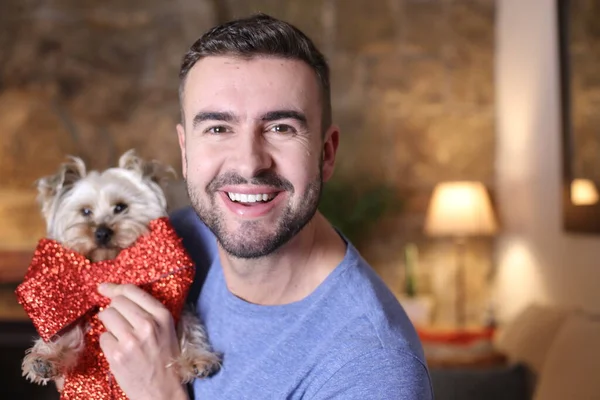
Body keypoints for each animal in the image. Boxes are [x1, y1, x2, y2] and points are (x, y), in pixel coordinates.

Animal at [22, 149, 223, 388]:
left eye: (120, 207)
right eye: (85, 212)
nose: (101, 232)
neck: (109, 264)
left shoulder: (175, 305)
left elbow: (190, 324)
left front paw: (198, 358)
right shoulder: (76, 314)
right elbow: (66, 331)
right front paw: (45, 358)